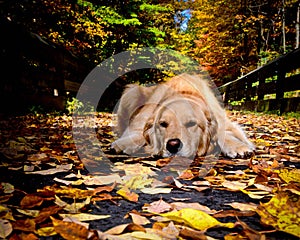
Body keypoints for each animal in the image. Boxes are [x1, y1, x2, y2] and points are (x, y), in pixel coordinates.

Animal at [111, 74, 254, 158]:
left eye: (191, 124)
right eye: (163, 124)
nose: (173, 145)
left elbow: (225, 133)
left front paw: (238, 146)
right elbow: (137, 130)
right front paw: (124, 143)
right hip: (132, 91)